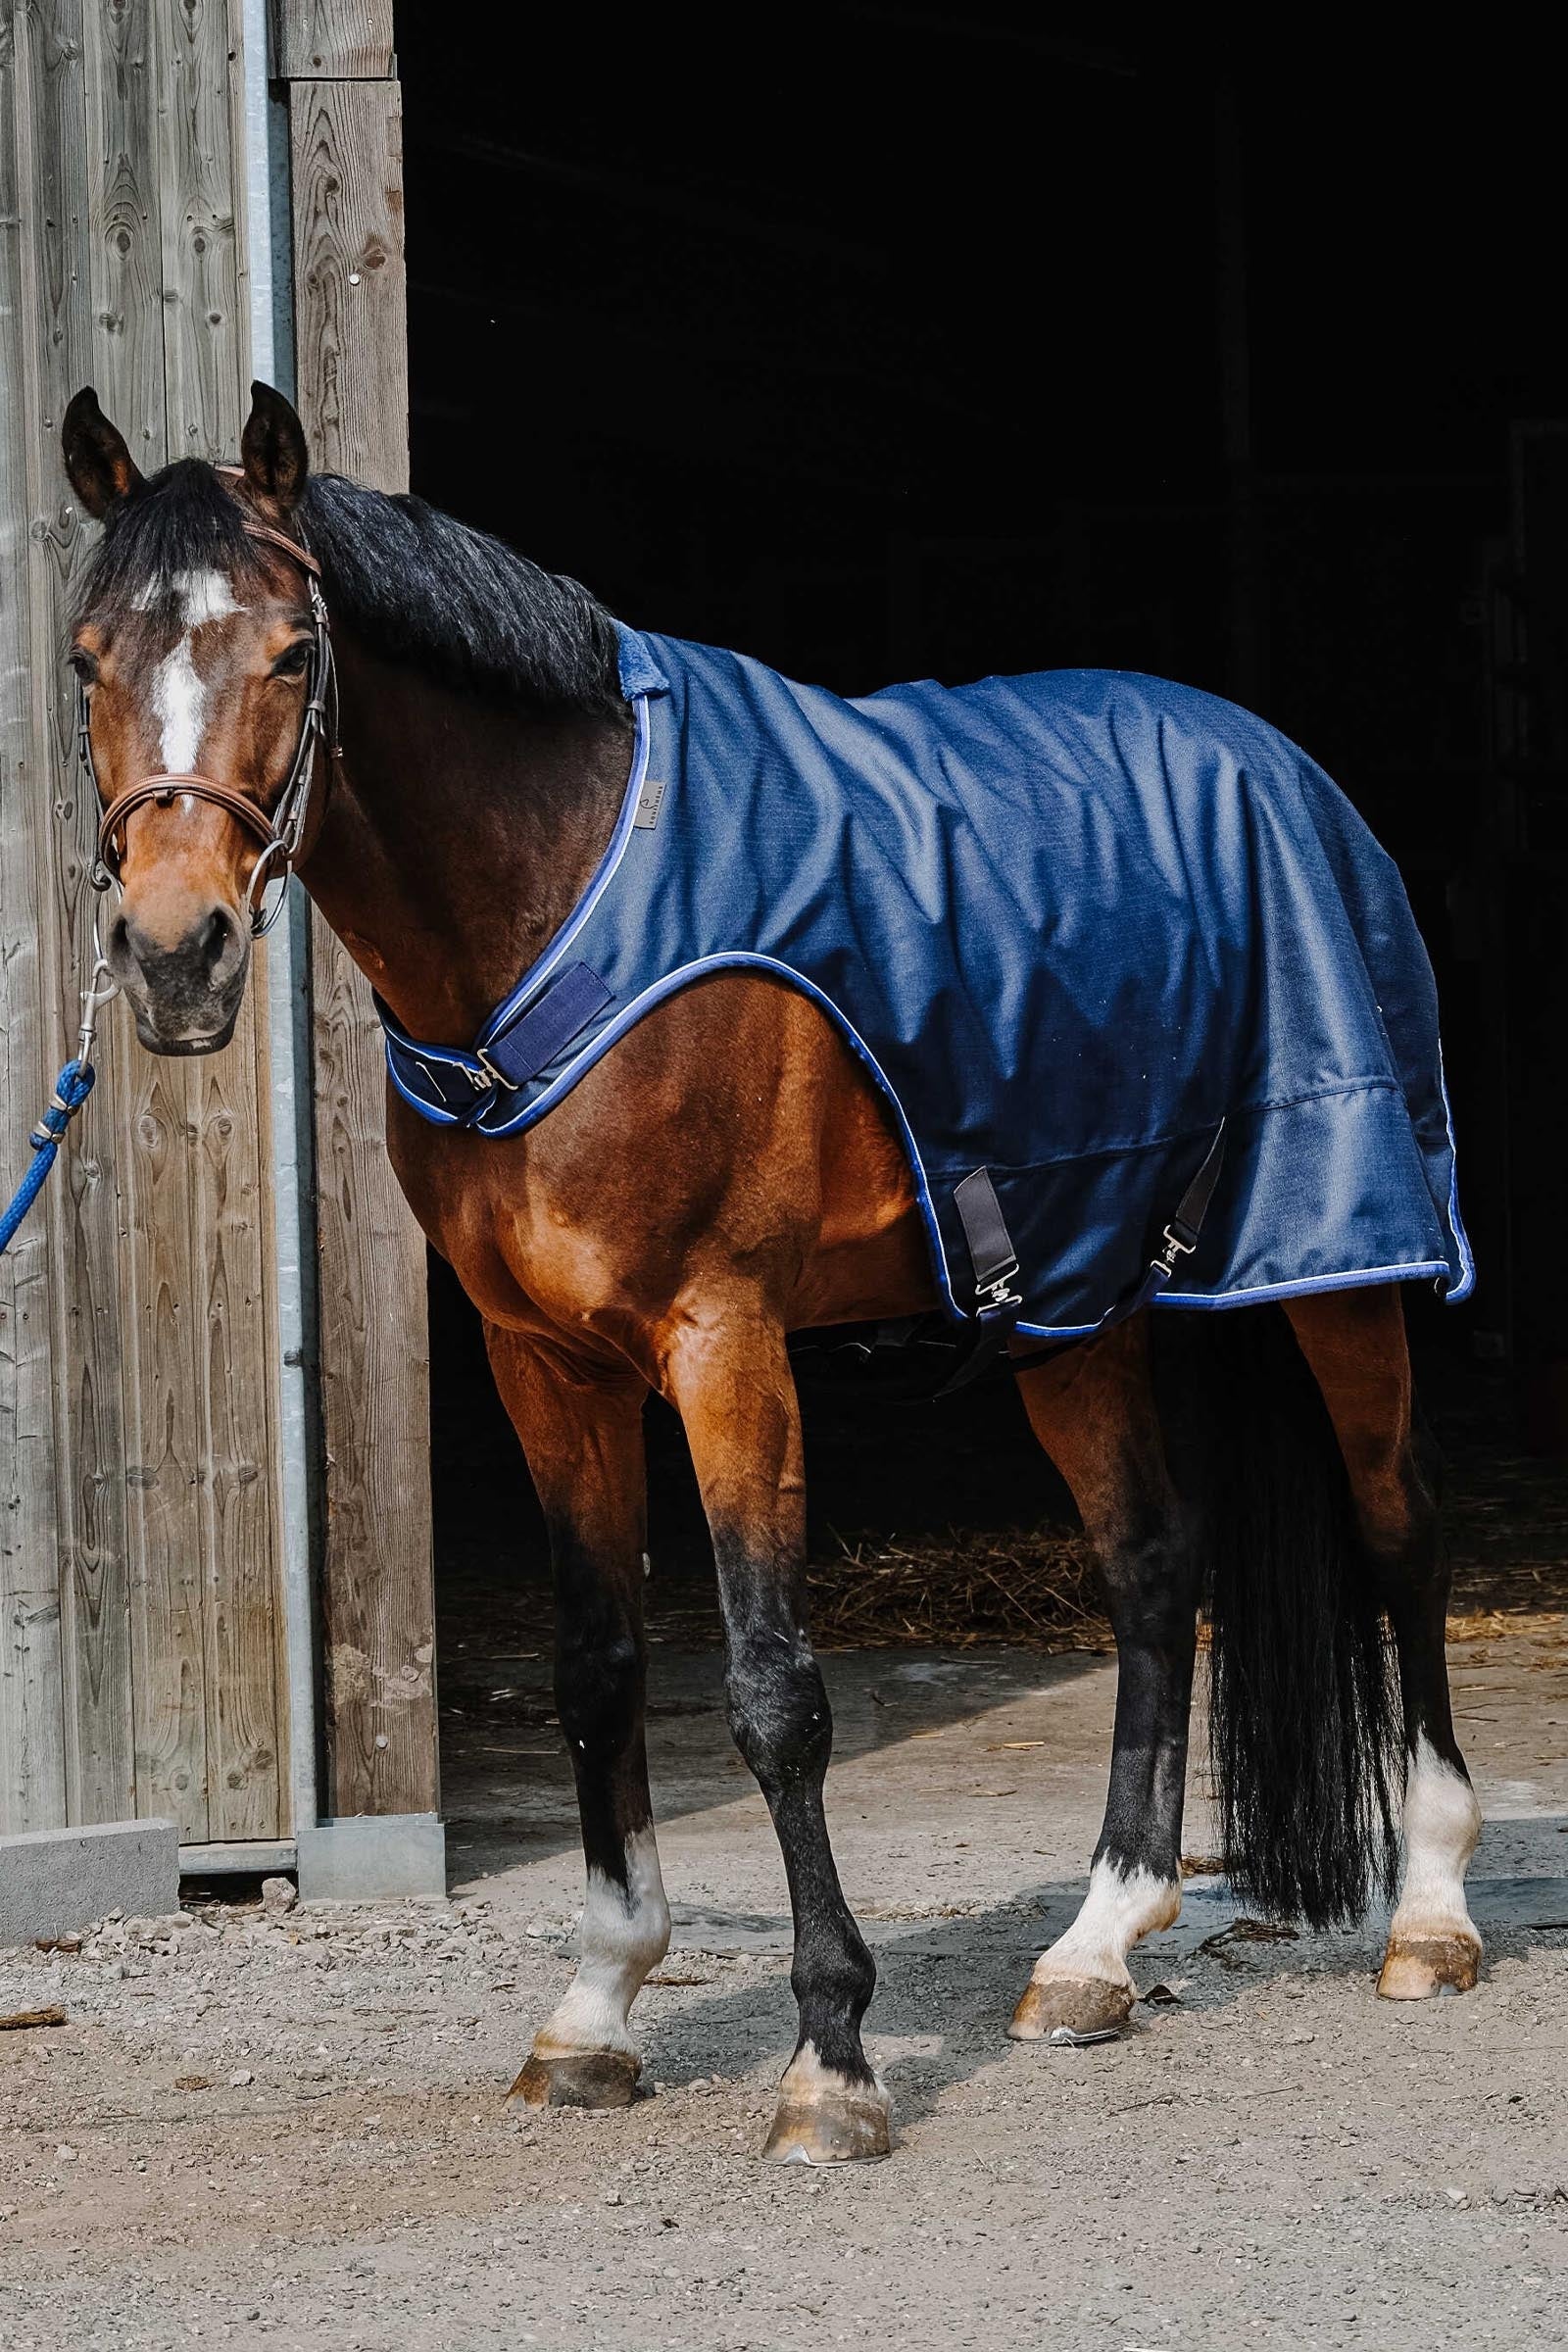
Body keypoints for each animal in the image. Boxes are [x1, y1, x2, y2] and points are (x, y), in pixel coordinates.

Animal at [58, 380, 1483, 2166]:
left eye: (294, 654)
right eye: (85, 658)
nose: (173, 956)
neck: (562, 894)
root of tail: (1281, 762)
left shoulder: (723, 1339)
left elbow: (771, 1691)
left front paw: (833, 2060)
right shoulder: (544, 1361)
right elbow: (597, 1669)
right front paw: (598, 2008)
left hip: (1340, 1260)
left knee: (1398, 1530)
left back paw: (1431, 1916)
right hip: (1074, 1305)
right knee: (1157, 1569)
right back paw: (1095, 1950)